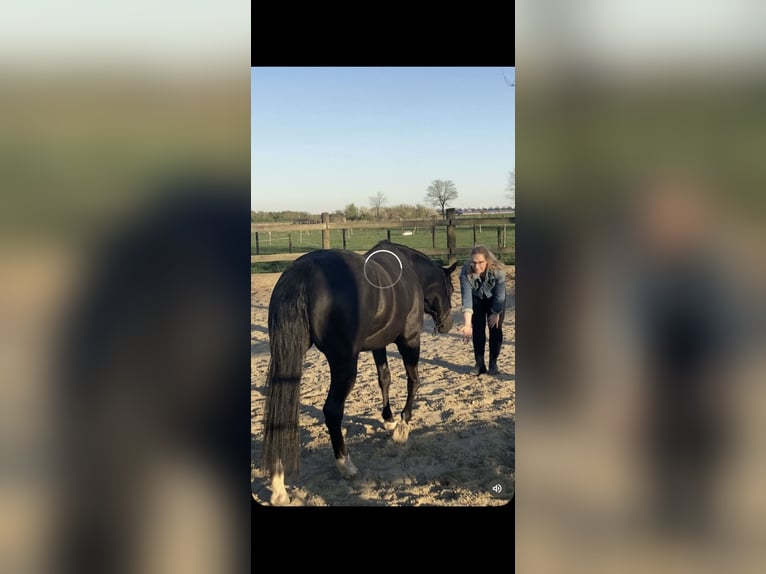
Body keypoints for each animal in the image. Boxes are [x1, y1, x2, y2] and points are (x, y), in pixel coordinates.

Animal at [261, 240, 457, 505]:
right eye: (452, 290)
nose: (447, 325)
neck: (411, 272)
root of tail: (304, 270)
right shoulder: (409, 340)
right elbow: (413, 381)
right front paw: (402, 427)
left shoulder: (378, 345)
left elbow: (384, 378)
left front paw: (389, 420)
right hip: (344, 364)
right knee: (332, 411)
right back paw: (346, 465)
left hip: (288, 357)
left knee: (281, 411)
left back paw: (278, 485)